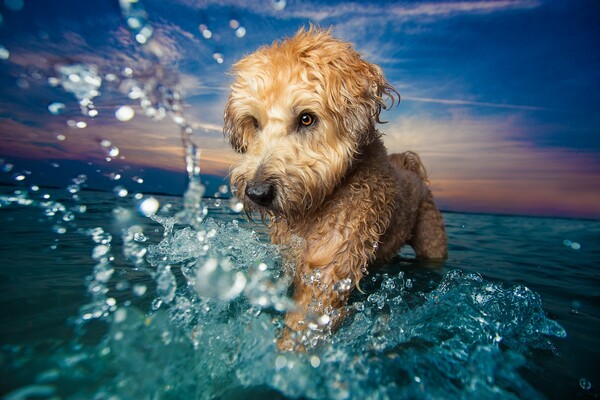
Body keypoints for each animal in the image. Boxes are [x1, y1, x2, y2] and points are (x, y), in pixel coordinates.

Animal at [223, 26, 448, 350]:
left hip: (431, 237)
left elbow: (307, 318)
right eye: (254, 122)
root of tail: (411, 169)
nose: (257, 193)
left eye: (306, 118)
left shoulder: (330, 266)